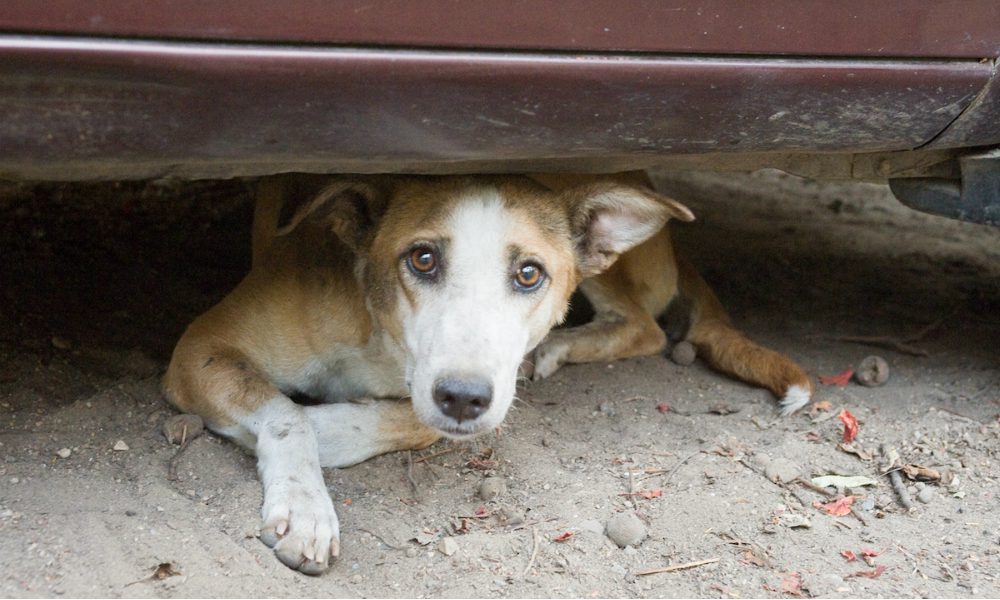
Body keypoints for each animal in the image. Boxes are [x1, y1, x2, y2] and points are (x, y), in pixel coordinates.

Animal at [160, 171, 808, 576]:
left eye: (529, 273)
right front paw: (305, 504)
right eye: (422, 259)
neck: (381, 338)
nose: (463, 398)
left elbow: (405, 420)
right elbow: (285, 412)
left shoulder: (470, 392)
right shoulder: (200, 348)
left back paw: (557, 347)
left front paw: (328, 432)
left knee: (644, 326)